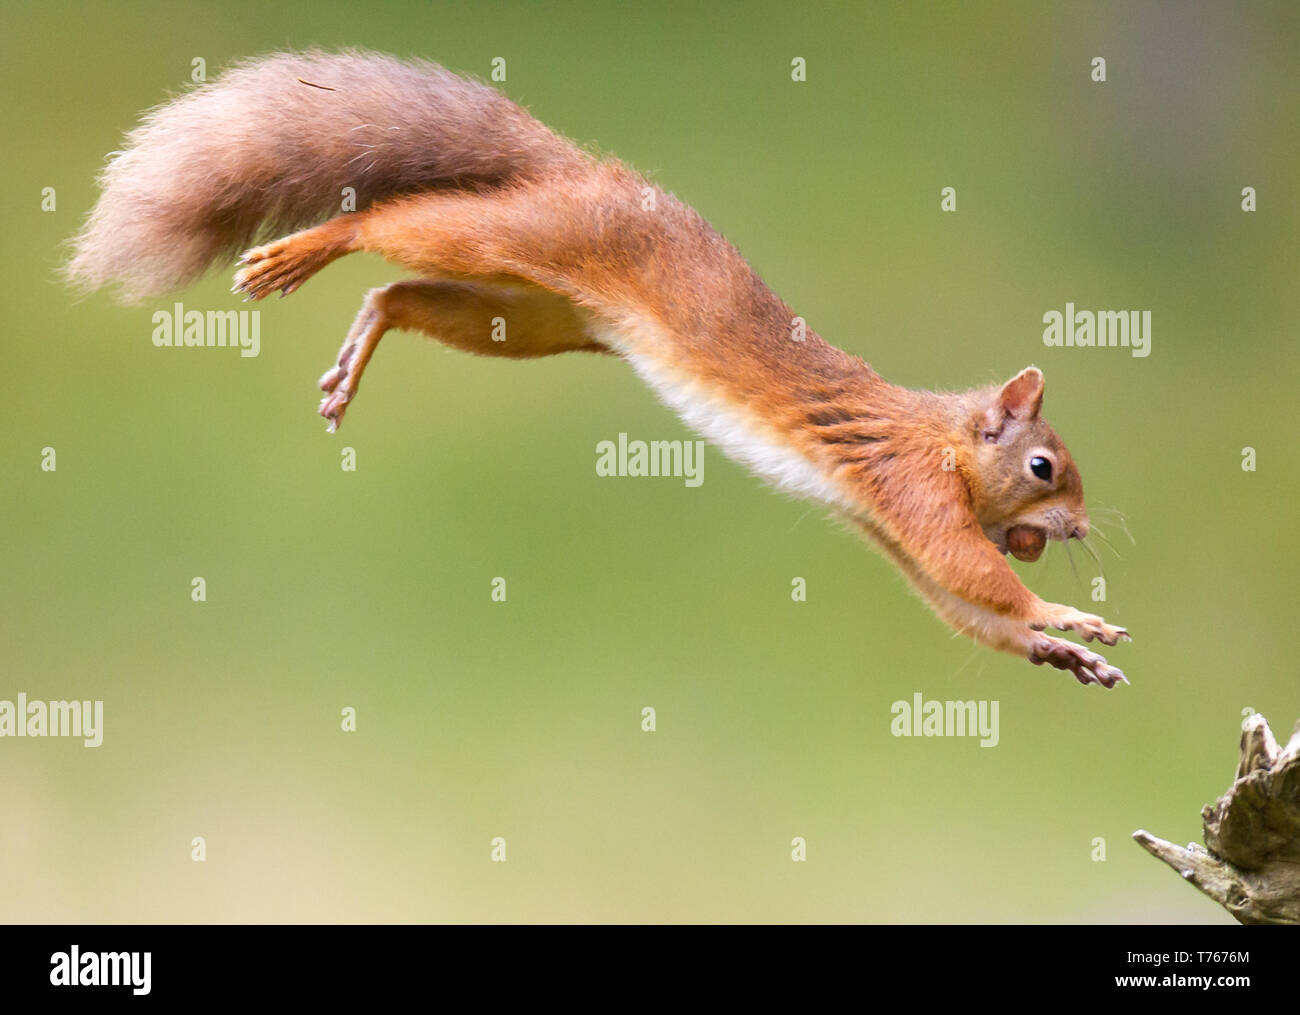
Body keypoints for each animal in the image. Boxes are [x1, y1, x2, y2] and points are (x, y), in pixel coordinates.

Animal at [66, 50, 1130, 687]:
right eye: (1044, 466)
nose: (1080, 529)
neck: (941, 439)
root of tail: (582, 170)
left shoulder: (890, 531)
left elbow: (961, 604)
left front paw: (1054, 648)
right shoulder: (909, 489)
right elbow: (975, 574)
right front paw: (1068, 614)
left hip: (529, 316)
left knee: (402, 295)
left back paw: (357, 342)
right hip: (518, 239)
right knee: (393, 225)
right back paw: (310, 249)